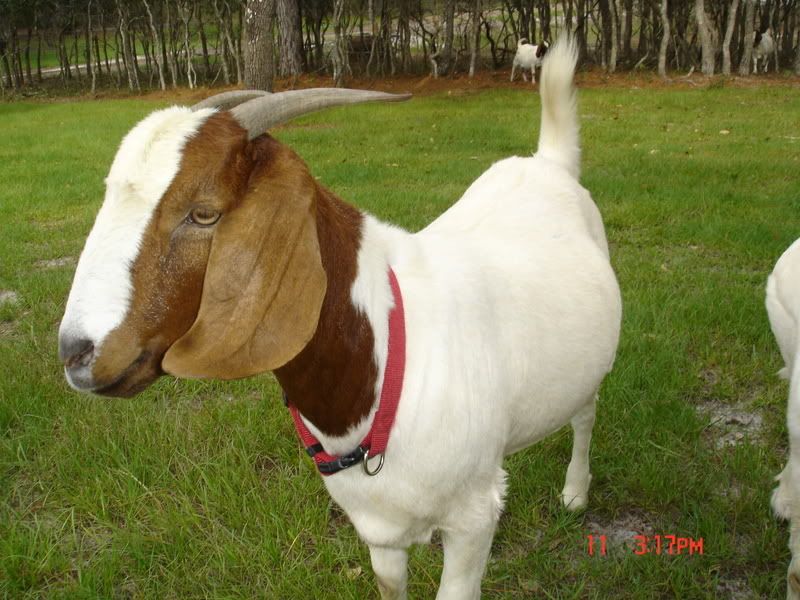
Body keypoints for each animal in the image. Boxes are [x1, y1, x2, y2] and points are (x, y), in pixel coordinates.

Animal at [59, 37, 621, 598]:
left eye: (203, 213)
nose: (75, 353)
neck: (388, 355)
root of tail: (548, 161)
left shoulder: (473, 518)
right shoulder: (378, 528)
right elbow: (391, 585)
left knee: (586, 414)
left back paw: (575, 494)